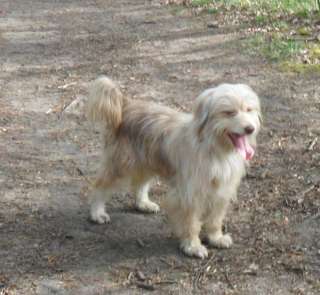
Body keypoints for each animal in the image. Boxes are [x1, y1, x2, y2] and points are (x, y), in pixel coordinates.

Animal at [86, 76, 262, 260]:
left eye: (249, 109)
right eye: (229, 112)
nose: (250, 129)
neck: (214, 148)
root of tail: (127, 104)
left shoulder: (222, 191)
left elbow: (215, 219)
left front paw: (216, 238)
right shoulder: (190, 194)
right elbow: (191, 223)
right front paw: (193, 246)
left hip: (147, 161)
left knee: (140, 184)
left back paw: (143, 204)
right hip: (120, 164)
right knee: (100, 186)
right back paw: (97, 212)